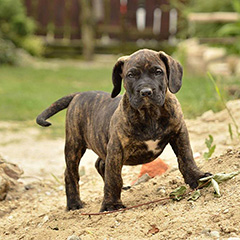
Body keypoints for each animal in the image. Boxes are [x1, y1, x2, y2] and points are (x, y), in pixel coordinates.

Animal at [36, 49, 210, 212]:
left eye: (158, 72)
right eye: (131, 75)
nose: (146, 91)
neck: (150, 114)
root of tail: (79, 94)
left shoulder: (179, 133)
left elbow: (186, 157)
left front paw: (197, 177)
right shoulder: (116, 148)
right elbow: (113, 177)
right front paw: (111, 204)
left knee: (100, 164)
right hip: (74, 145)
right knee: (71, 173)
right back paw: (74, 203)